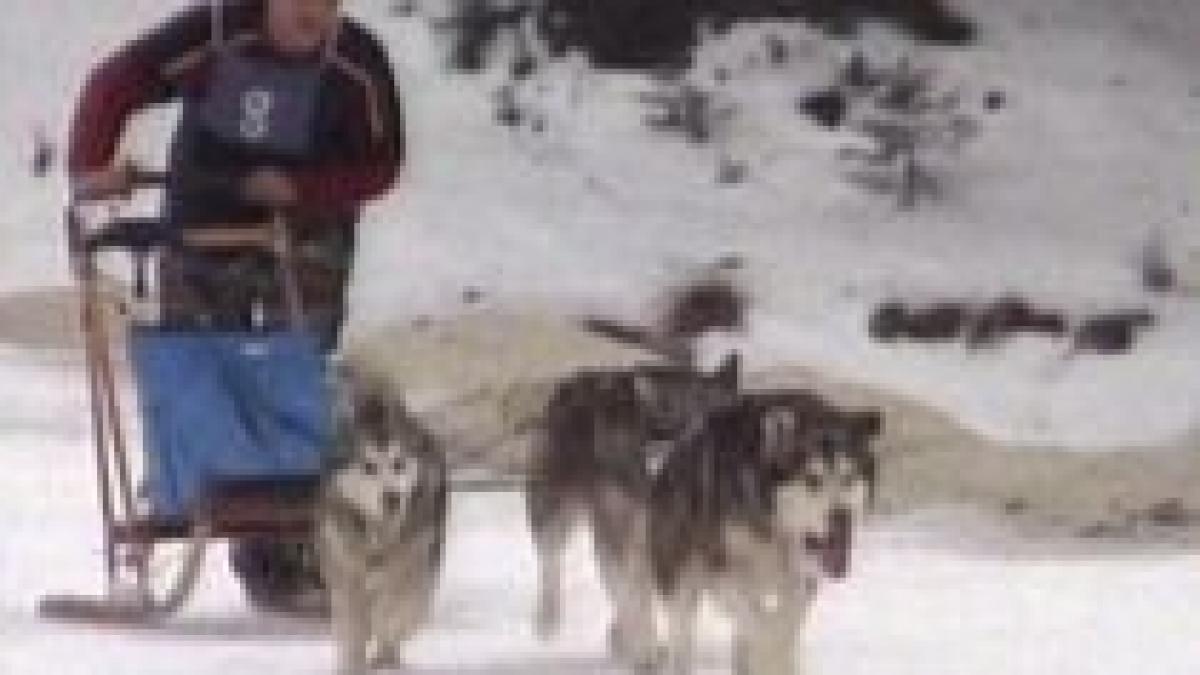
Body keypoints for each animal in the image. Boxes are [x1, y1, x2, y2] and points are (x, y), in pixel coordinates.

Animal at [316, 367, 448, 672]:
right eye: (369, 466)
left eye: (399, 463)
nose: (392, 498)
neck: (379, 534)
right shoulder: (344, 567)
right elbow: (352, 623)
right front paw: (351, 663)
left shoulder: (416, 560)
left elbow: (398, 610)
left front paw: (384, 638)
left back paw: (387, 654)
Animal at [528, 353, 739, 667]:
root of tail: (583, 380)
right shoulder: (630, 535)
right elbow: (633, 596)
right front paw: (644, 648)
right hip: (554, 511)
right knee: (551, 561)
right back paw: (550, 616)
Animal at [648, 389, 883, 672]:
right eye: (811, 479)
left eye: (849, 477)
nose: (841, 517)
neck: (775, 529)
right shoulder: (721, 572)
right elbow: (762, 627)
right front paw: (769, 657)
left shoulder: (804, 577)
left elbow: (786, 623)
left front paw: (781, 659)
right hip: (681, 578)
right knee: (684, 633)